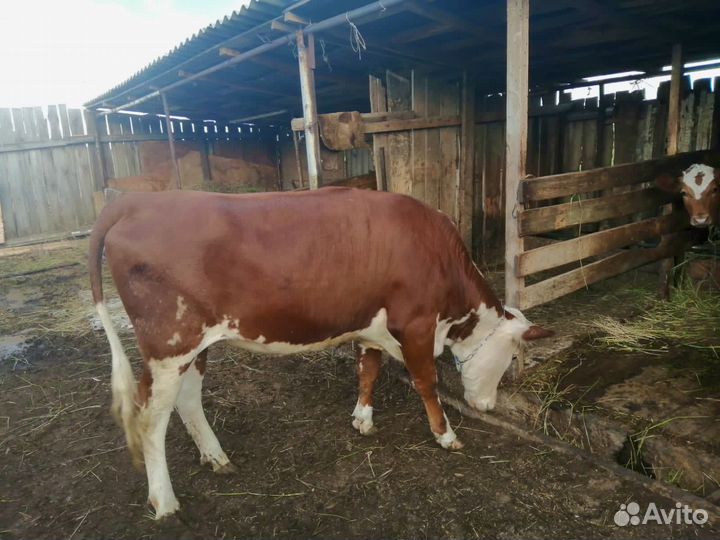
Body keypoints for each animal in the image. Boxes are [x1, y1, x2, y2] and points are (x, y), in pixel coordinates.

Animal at [88, 187, 553, 519]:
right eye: (509, 359)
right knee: (150, 418)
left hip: (195, 346)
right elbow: (427, 381)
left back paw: (216, 458)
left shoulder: (370, 325)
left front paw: (362, 420)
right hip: (168, 346)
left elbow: (368, 370)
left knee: (188, 400)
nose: (488, 405)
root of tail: (136, 200)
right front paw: (446, 435)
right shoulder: (417, 325)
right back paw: (164, 502)